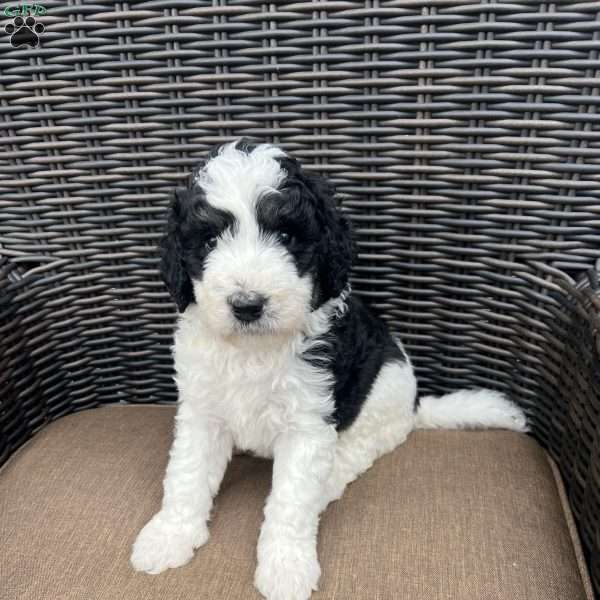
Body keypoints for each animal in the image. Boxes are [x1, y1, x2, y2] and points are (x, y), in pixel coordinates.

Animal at [130, 139, 524, 600]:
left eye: (286, 235)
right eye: (209, 240)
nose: (247, 305)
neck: (254, 349)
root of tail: (415, 408)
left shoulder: (308, 421)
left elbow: (291, 499)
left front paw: (285, 566)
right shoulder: (202, 410)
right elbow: (187, 475)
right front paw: (168, 536)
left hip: (381, 394)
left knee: (354, 452)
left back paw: (329, 480)